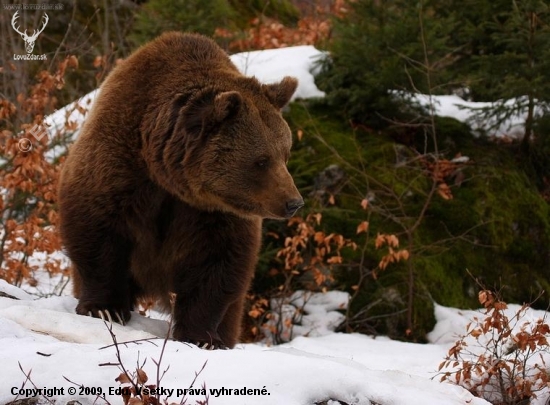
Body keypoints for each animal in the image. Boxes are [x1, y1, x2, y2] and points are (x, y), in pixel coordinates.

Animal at [58, 32, 304, 348]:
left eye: (285, 153)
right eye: (261, 160)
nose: (293, 202)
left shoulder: (213, 211)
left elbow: (218, 263)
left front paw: (201, 336)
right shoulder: (120, 165)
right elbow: (97, 227)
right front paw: (105, 307)